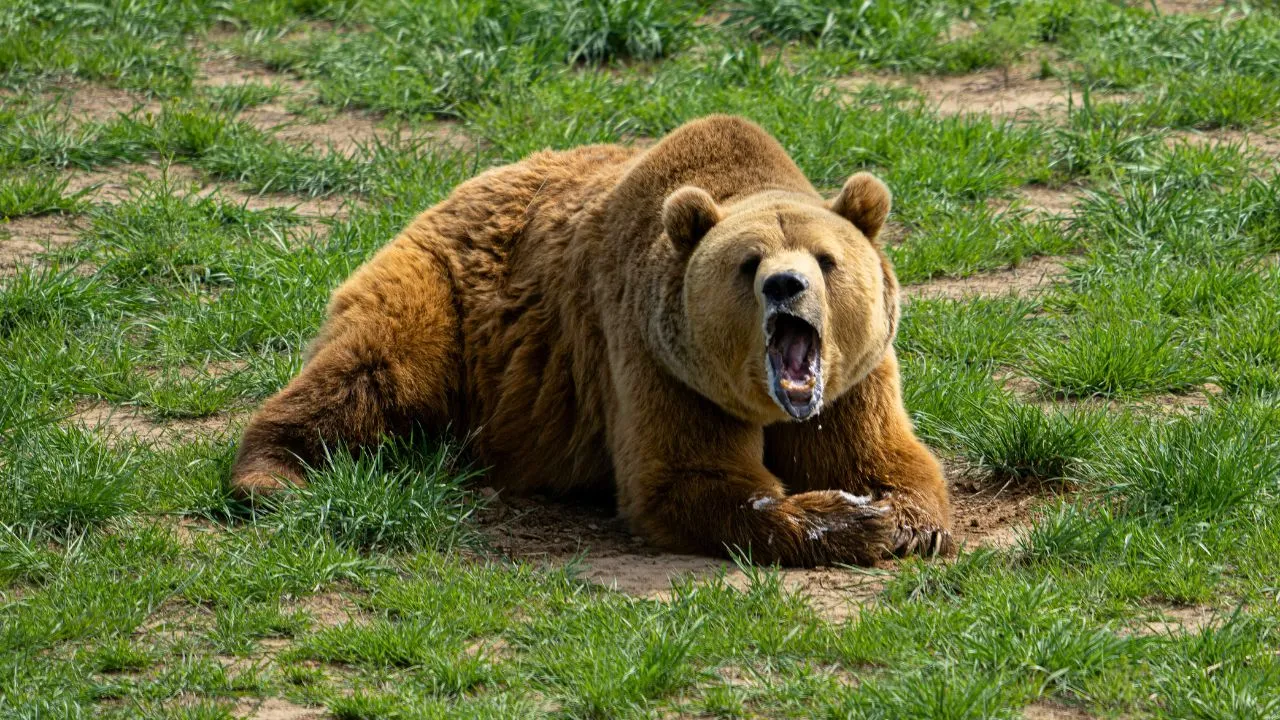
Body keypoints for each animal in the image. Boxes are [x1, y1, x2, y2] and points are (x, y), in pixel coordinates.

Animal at [230, 115, 953, 567]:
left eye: (826, 260)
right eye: (748, 263)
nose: (785, 285)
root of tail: (457, 187)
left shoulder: (855, 379)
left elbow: (885, 458)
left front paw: (897, 518)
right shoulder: (653, 357)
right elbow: (686, 478)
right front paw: (848, 519)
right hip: (444, 298)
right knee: (368, 374)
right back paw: (275, 475)